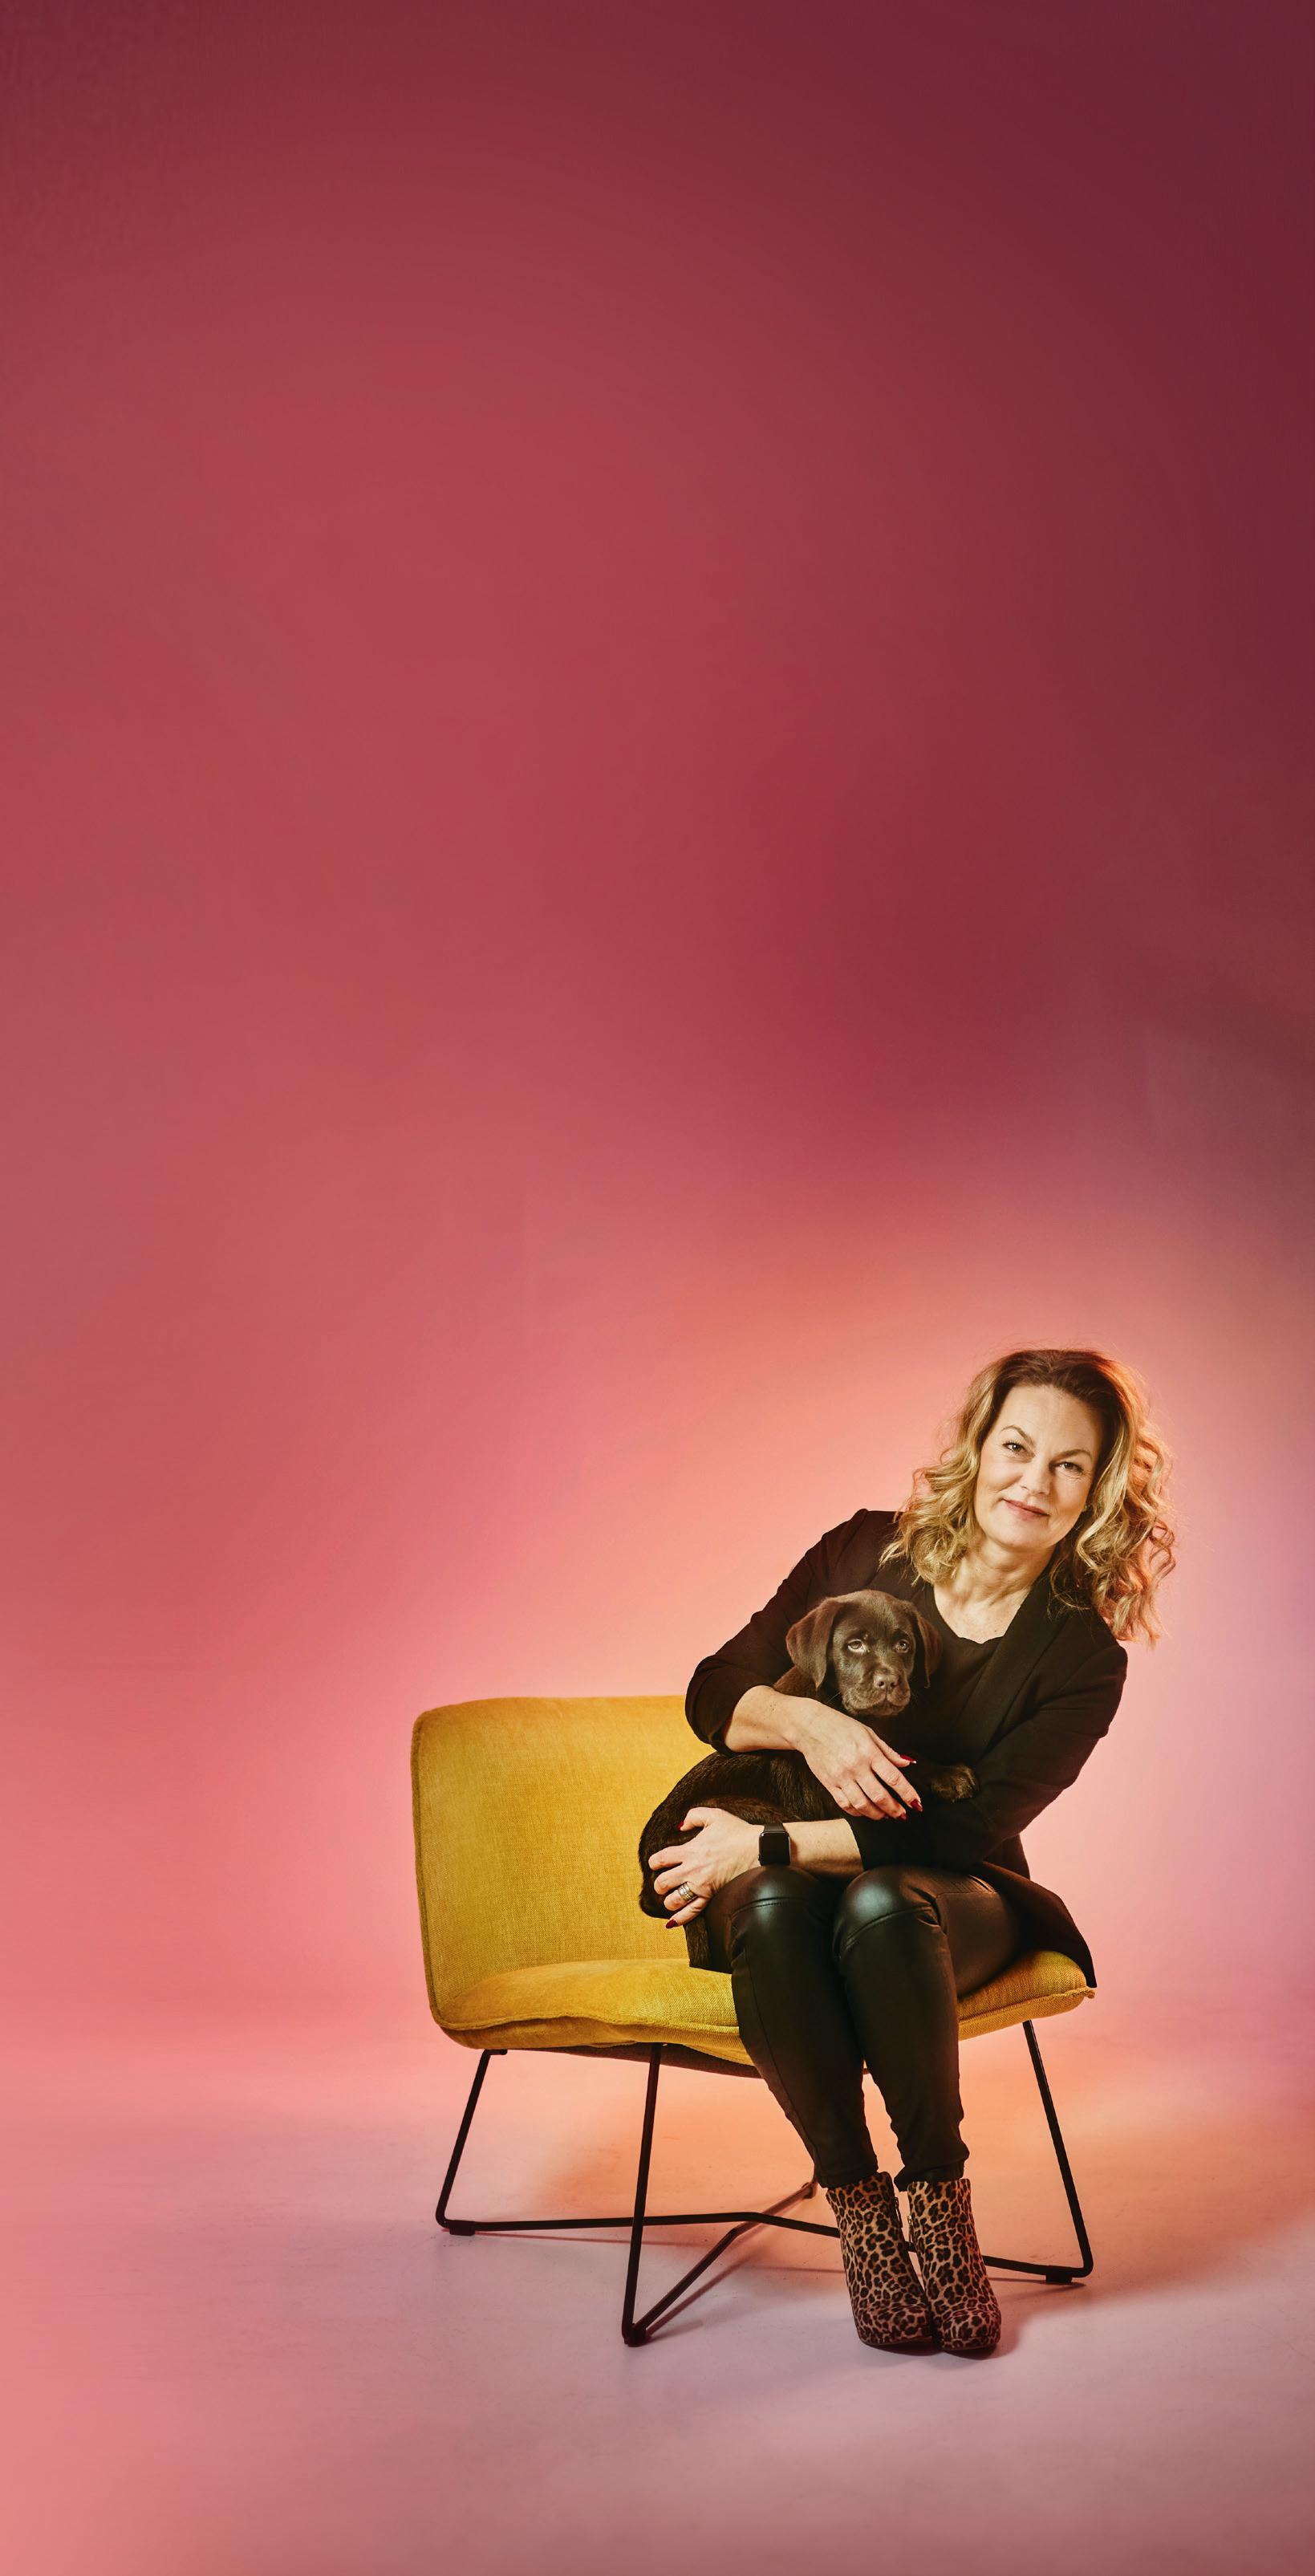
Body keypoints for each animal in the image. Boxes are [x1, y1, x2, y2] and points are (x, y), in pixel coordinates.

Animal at [638, 1588, 980, 1968]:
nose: (890, 1682)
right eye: (855, 1645)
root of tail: (647, 1885)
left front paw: (945, 1773)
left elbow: (897, 1756)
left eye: (904, 1644)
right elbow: (891, 1767)